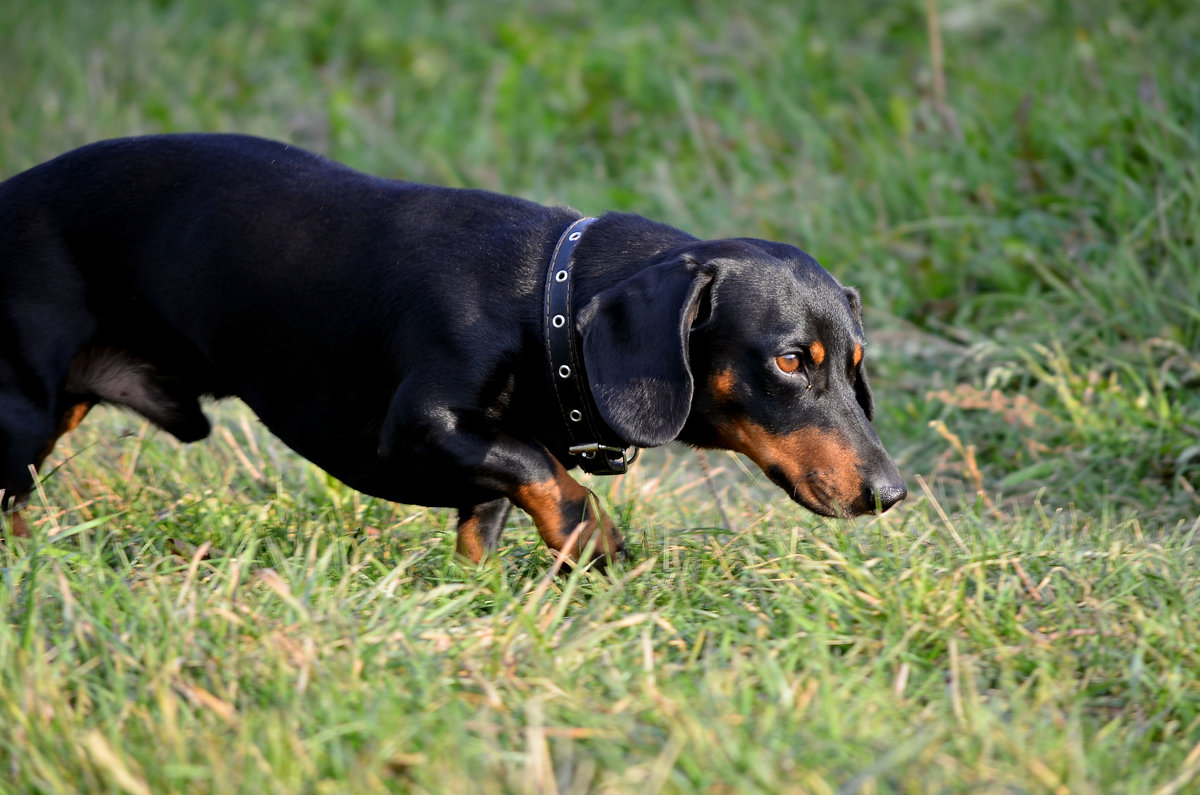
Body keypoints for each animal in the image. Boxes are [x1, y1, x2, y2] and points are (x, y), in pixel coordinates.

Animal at [0, 133, 902, 564]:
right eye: (788, 360)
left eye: (854, 366)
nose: (890, 493)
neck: (546, 299)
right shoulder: (421, 426)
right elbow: (554, 475)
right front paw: (596, 543)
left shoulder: (485, 469)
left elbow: (501, 503)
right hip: (24, 412)